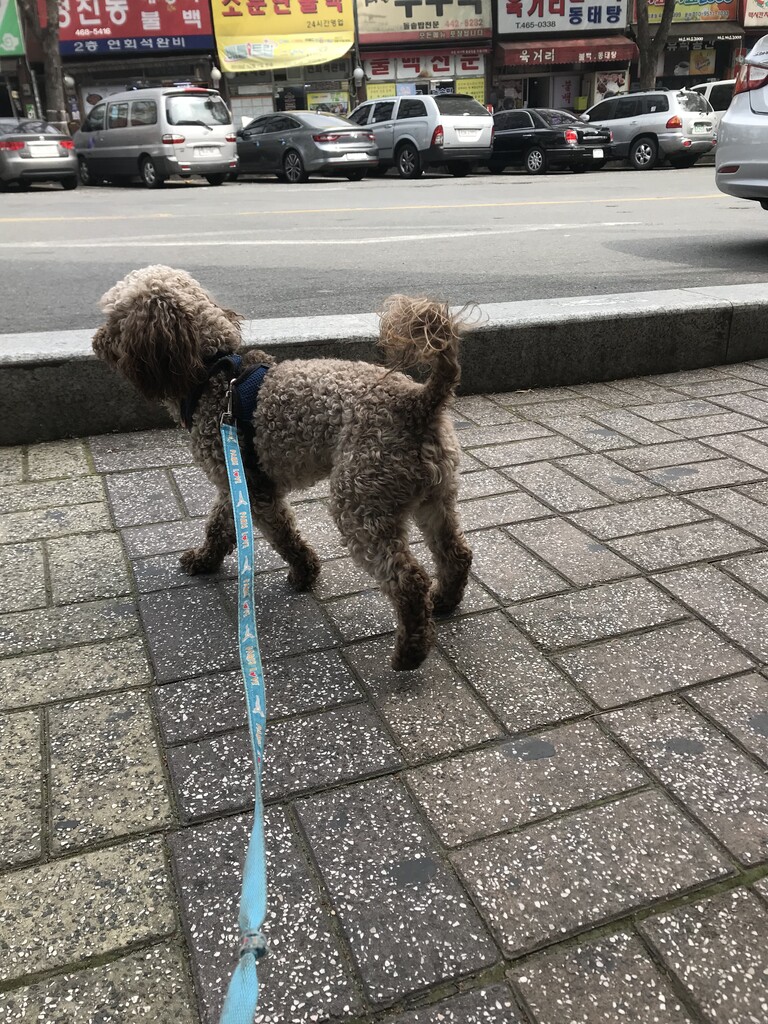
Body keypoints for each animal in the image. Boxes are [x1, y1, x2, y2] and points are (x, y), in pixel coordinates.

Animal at [93, 265, 472, 670]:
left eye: (114, 318)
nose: (96, 342)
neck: (213, 376)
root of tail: (420, 401)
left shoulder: (256, 490)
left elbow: (283, 536)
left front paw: (303, 572)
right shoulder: (237, 478)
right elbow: (220, 524)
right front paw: (205, 559)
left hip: (362, 500)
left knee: (408, 580)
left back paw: (409, 653)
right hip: (434, 495)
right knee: (456, 553)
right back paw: (445, 601)